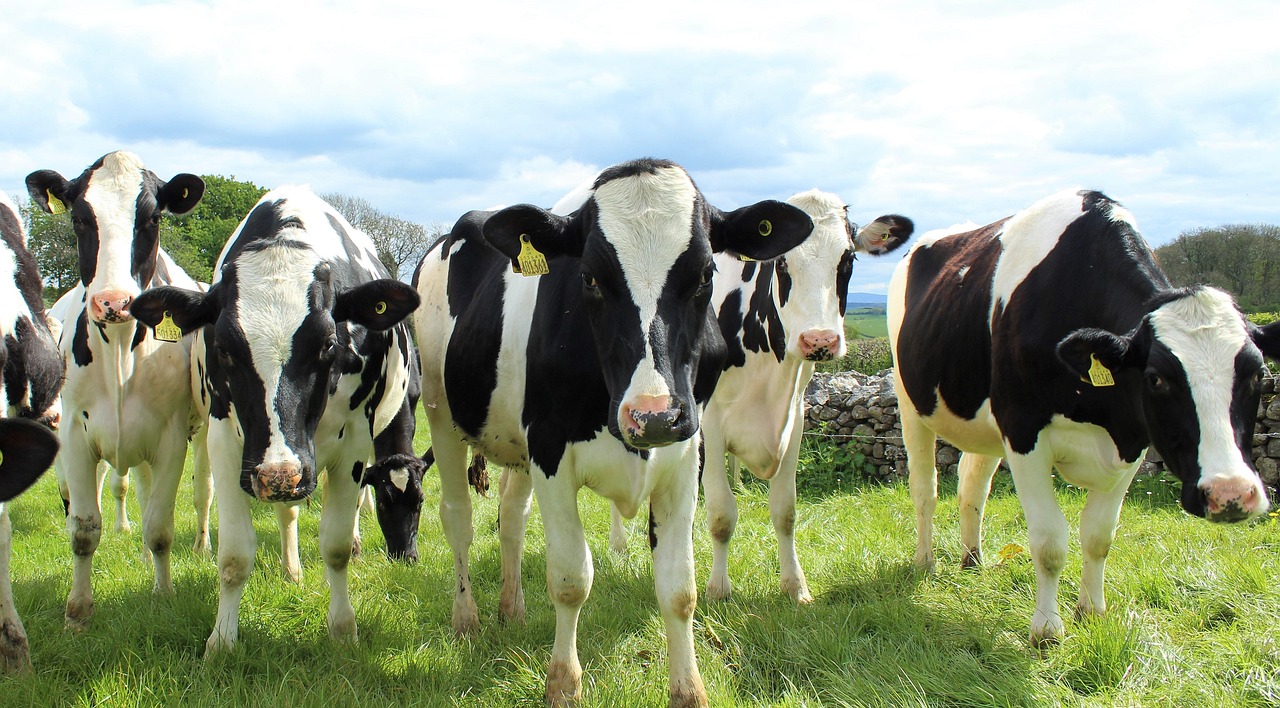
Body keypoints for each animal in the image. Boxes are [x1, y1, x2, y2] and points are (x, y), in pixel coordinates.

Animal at [26, 151, 208, 629]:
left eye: (152, 217)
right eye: (79, 218)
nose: (113, 302)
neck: (122, 351)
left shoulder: (171, 437)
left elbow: (161, 525)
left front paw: (163, 594)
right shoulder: (73, 432)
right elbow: (84, 528)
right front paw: (77, 611)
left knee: (201, 491)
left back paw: (198, 544)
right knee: (138, 492)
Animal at [131, 185, 419, 653]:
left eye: (327, 343)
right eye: (224, 347)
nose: (278, 474)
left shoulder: (355, 443)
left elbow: (336, 544)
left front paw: (343, 630)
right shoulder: (229, 443)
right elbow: (234, 554)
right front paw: (221, 640)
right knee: (287, 512)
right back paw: (290, 569)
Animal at [414, 158, 814, 707]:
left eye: (706, 274)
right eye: (589, 277)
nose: (653, 416)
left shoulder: (687, 453)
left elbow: (679, 587)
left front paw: (689, 689)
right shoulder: (550, 452)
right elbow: (570, 578)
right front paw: (563, 683)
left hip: (514, 443)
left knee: (511, 518)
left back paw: (512, 609)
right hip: (440, 411)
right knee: (458, 518)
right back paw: (466, 618)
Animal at [698, 190, 912, 604]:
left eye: (848, 259)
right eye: (781, 261)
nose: (819, 340)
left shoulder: (795, 418)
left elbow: (785, 510)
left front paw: (795, 586)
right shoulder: (710, 421)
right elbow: (720, 514)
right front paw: (717, 589)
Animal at [887, 188, 1279, 647]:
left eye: (1258, 374)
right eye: (1156, 378)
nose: (1230, 493)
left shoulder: (1132, 441)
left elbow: (1099, 536)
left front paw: (1092, 612)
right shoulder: (1023, 430)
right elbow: (1049, 541)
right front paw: (1046, 630)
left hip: (983, 419)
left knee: (972, 485)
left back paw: (972, 559)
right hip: (910, 402)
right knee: (925, 489)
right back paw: (925, 562)